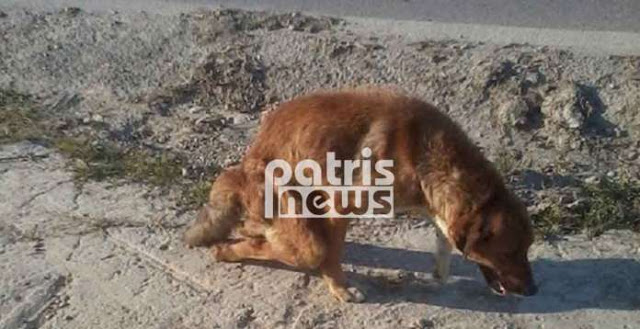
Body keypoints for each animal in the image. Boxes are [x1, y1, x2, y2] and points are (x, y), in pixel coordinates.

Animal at [182, 86, 536, 300]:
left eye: (527, 250)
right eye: (509, 253)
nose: (533, 291)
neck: (426, 152)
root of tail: (244, 164)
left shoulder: (438, 210)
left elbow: (444, 243)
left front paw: (440, 274)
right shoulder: (341, 203)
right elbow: (333, 254)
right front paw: (340, 288)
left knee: (259, 233)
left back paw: (245, 231)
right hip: (300, 229)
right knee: (297, 248)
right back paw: (225, 250)